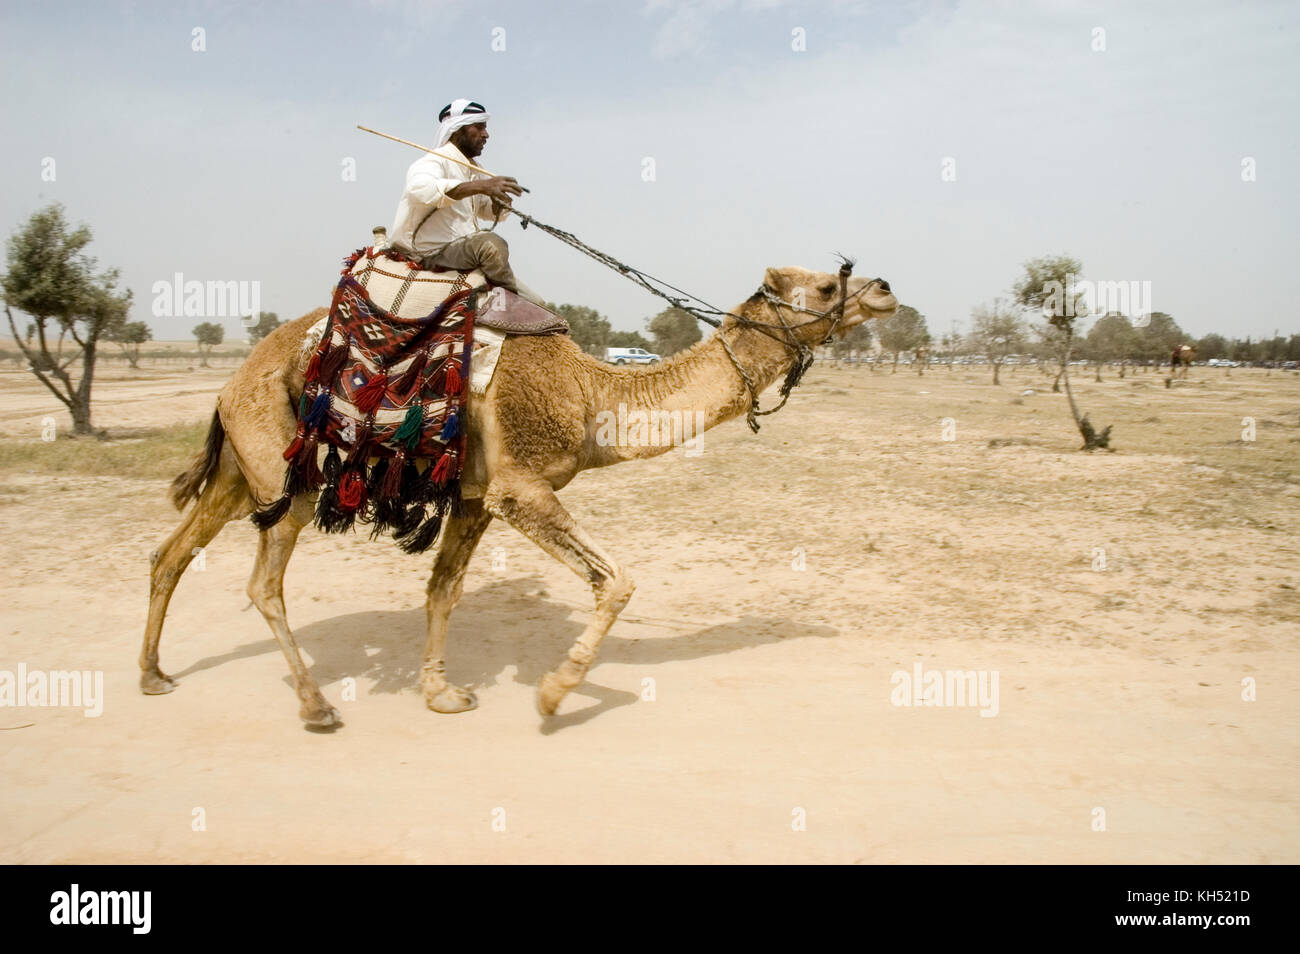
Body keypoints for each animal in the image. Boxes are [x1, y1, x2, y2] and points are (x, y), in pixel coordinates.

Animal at [139, 265, 894, 727]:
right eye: (826, 283)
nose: (885, 287)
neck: (592, 395)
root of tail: (233, 377)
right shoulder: (521, 487)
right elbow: (617, 581)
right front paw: (556, 693)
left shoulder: (476, 497)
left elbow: (443, 590)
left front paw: (442, 692)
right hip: (283, 472)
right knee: (263, 584)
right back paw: (317, 706)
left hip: (242, 469)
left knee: (170, 554)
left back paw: (152, 675)